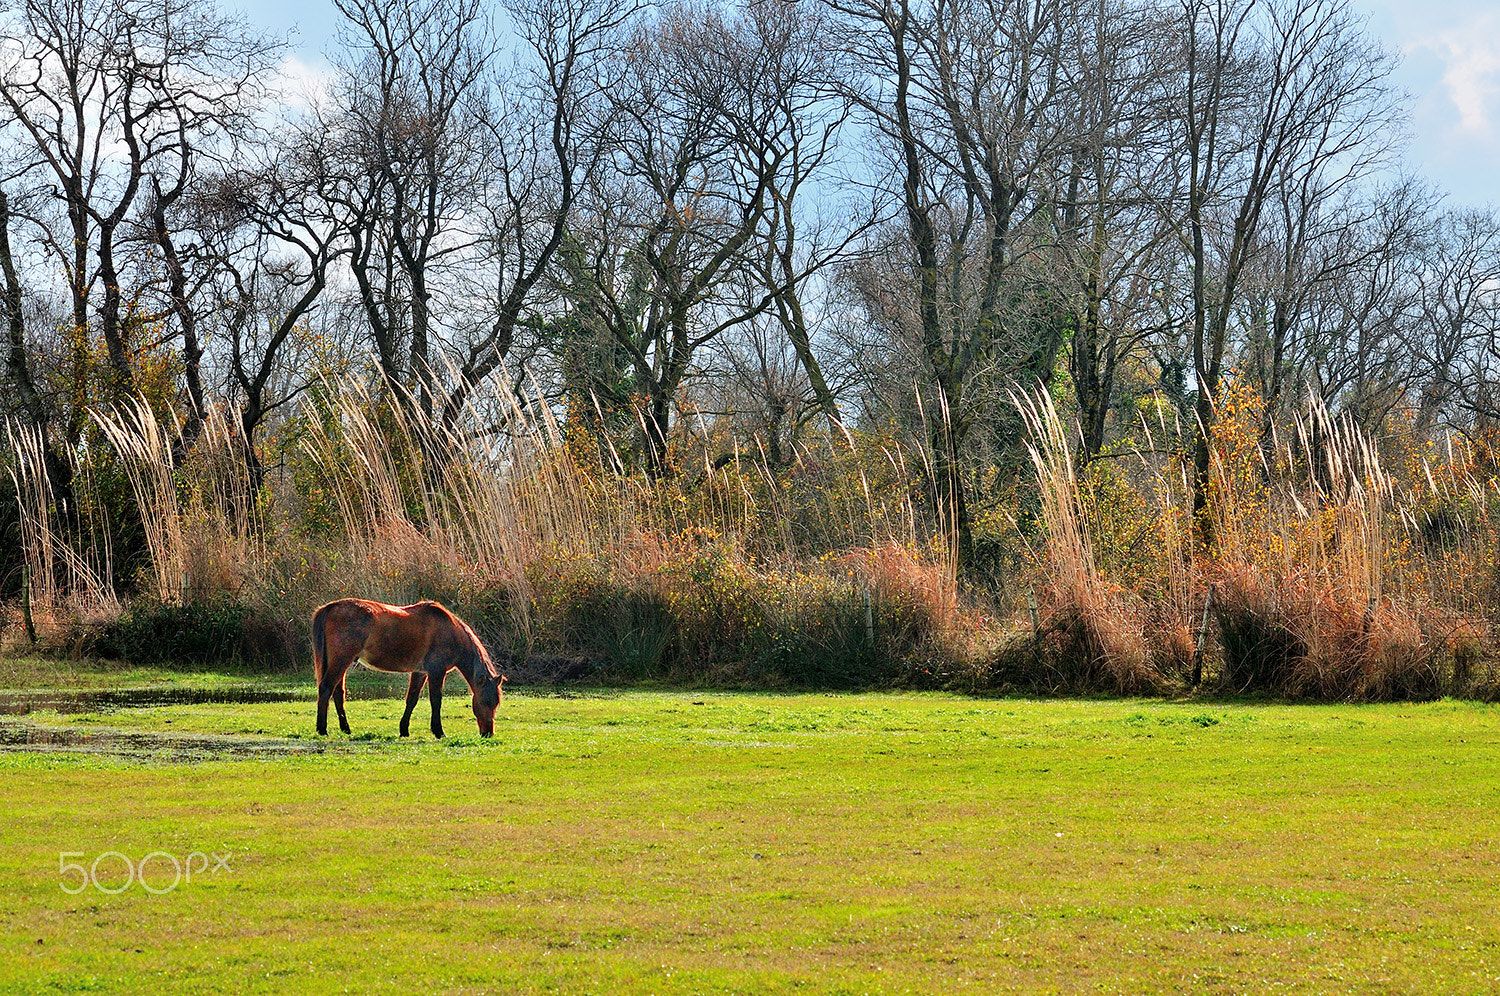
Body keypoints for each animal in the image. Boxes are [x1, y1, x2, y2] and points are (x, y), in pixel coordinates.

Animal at [310, 598, 506, 738]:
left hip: (342, 662)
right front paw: (439, 731)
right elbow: (436, 700)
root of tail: (331, 607)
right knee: (326, 689)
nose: (488, 733)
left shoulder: (420, 672)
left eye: (496, 703)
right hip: (341, 660)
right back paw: (322, 729)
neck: (450, 632)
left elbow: (412, 699)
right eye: (484, 701)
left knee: (338, 693)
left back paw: (346, 729)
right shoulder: (437, 672)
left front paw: (404, 730)